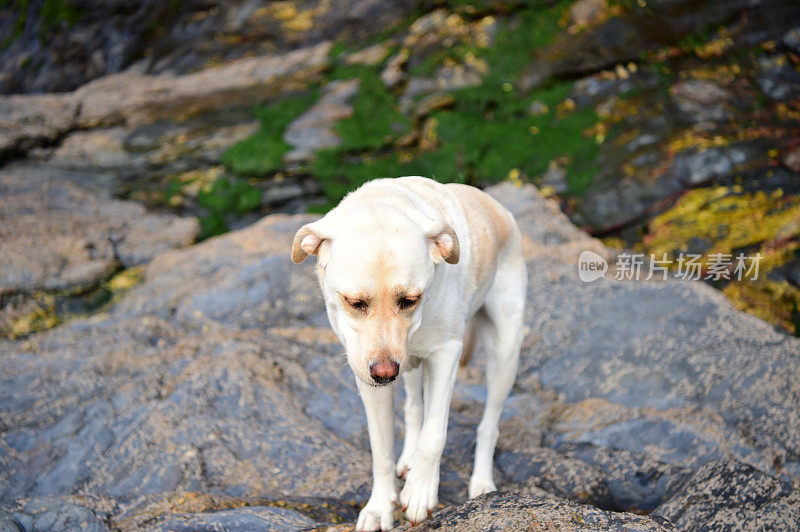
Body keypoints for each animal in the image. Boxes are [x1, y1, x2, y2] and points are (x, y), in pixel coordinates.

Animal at [290, 177, 528, 528]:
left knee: (489, 424)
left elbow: (434, 434)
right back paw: (409, 459)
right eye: (354, 302)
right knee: (415, 406)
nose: (385, 372)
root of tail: (498, 208)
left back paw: (483, 482)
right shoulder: (369, 377)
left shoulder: (446, 355)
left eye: (409, 299)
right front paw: (379, 507)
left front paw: (419, 492)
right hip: (413, 366)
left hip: (505, 351)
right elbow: (381, 448)